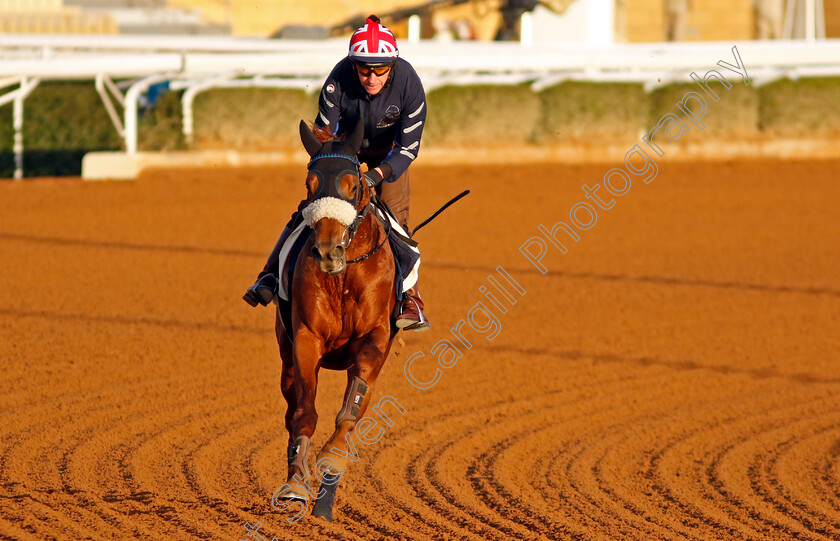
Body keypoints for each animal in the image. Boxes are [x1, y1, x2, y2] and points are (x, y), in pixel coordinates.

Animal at [272, 120, 398, 520]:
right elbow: (304, 413)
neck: (343, 278)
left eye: (352, 183)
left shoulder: (375, 339)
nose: (328, 251)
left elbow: (350, 412)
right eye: (309, 184)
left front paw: (331, 460)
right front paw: (295, 484)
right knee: (290, 408)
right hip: (286, 360)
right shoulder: (305, 338)